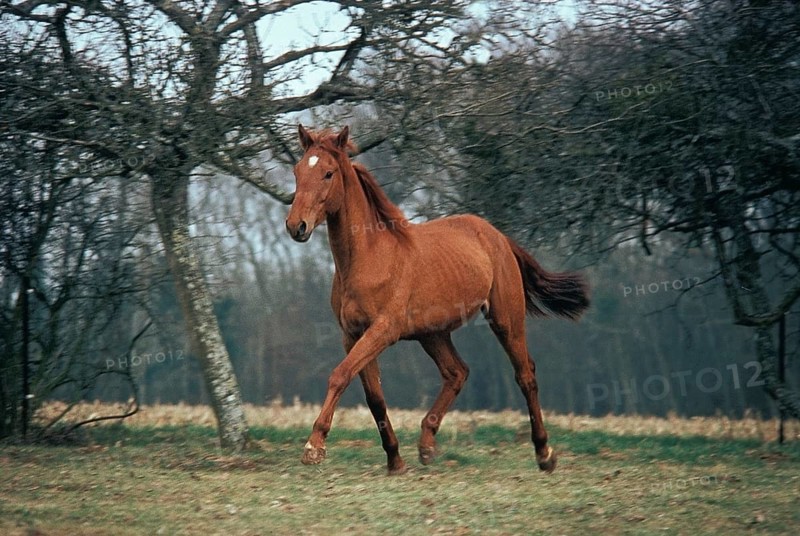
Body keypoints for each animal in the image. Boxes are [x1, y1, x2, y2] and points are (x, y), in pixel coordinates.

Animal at [284, 125, 590, 475]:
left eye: (328, 173)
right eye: (297, 171)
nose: (296, 226)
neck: (369, 257)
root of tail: (497, 236)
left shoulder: (383, 331)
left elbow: (339, 375)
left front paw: (314, 447)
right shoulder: (352, 335)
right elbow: (374, 397)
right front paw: (395, 461)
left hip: (505, 320)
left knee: (525, 374)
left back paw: (544, 454)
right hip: (432, 333)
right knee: (457, 372)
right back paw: (427, 445)